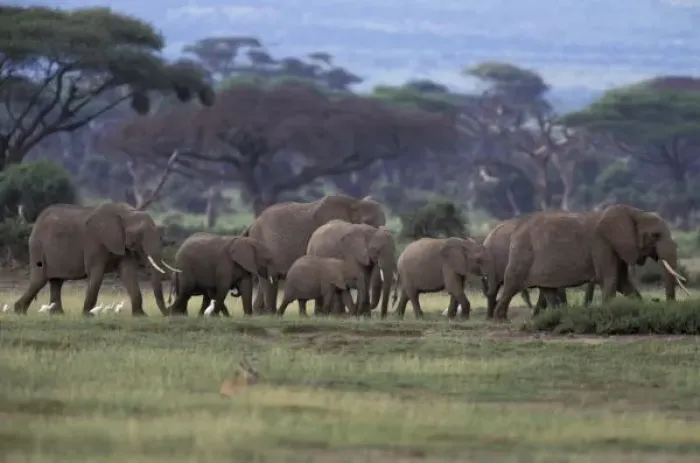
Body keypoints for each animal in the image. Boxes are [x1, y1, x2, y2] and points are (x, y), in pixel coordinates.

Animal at [13, 202, 175, 316]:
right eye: (139, 235)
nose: (168, 313)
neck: (126, 213)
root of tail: (36, 222)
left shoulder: (121, 244)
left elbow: (127, 273)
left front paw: (140, 316)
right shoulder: (95, 241)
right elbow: (96, 274)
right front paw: (87, 315)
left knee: (56, 281)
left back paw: (57, 314)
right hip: (38, 247)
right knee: (39, 280)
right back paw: (19, 311)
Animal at [245, 195, 386, 314]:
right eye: (367, 223)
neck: (354, 202)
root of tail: (252, 223)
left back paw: (260, 313)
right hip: (261, 243)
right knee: (270, 279)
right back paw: (270, 313)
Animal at [492, 204, 688, 321]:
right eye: (655, 235)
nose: (670, 307)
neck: (633, 212)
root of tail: (516, 229)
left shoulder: (616, 246)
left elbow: (623, 282)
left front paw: (639, 308)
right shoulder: (602, 244)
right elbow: (609, 279)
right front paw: (609, 312)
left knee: (547, 289)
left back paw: (559, 316)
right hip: (522, 254)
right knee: (511, 284)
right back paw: (501, 319)